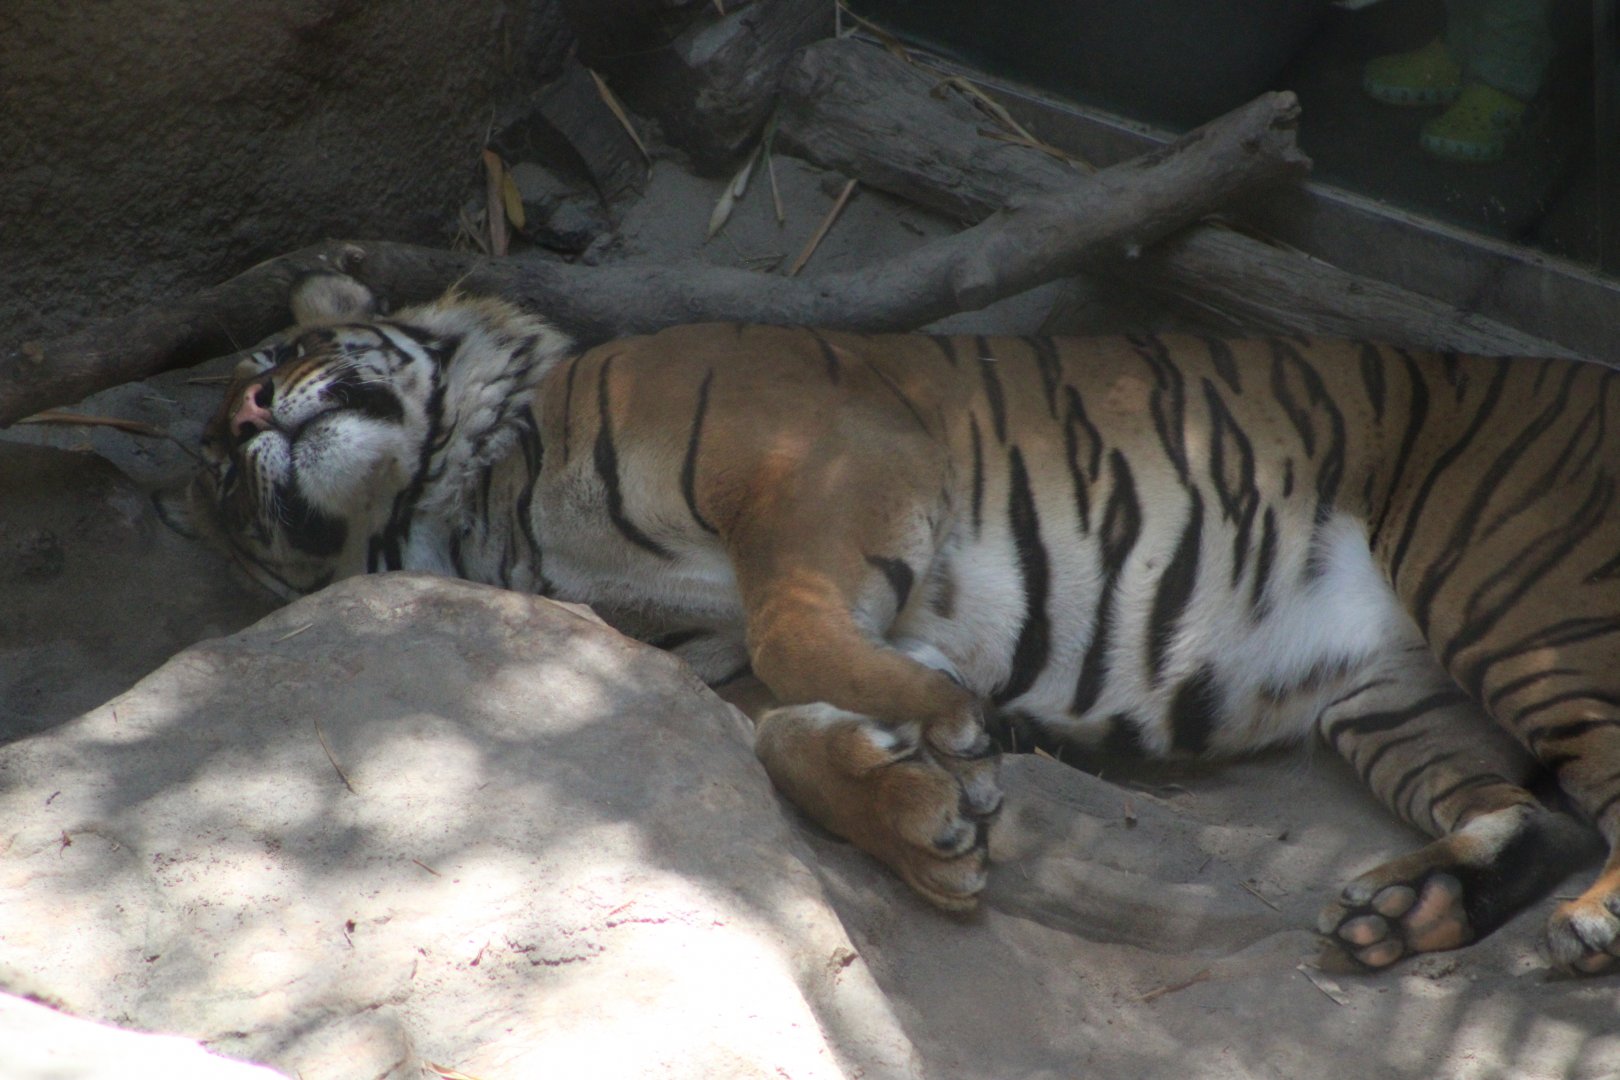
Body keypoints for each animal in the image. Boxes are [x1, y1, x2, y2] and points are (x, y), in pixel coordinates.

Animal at [167, 270, 1620, 975]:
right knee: (1539, 817)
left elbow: (798, 627)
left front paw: (953, 739)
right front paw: (927, 826)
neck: (486, 502)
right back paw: (1406, 915)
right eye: (220, 479)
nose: (246, 420)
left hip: (1516, 592)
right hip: (1395, 697)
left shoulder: (814, 467)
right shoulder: (718, 656)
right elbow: (780, 736)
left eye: (273, 362)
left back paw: (1579, 929)